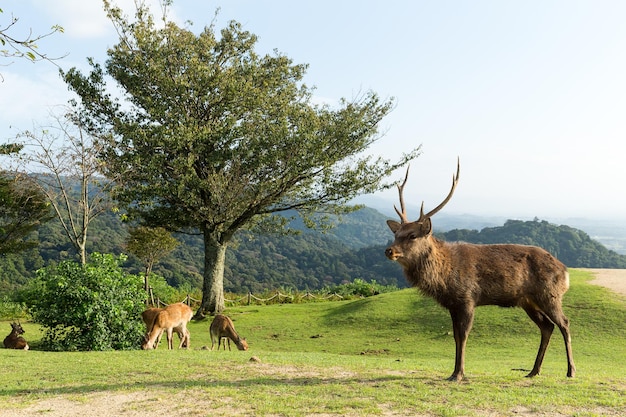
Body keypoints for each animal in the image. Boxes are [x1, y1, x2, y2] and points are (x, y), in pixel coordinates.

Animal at [382, 161, 572, 382]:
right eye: (396, 233)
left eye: (412, 235)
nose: (389, 250)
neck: (445, 277)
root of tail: (565, 271)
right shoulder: (453, 304)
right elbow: (456, 336)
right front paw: (453, 372)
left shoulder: (467, 298)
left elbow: (463, 336)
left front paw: (459, 374)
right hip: (528, 301)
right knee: (547, 326)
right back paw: (534, 371)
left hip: (549, 294)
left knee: (564, 323)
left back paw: (570, 371)